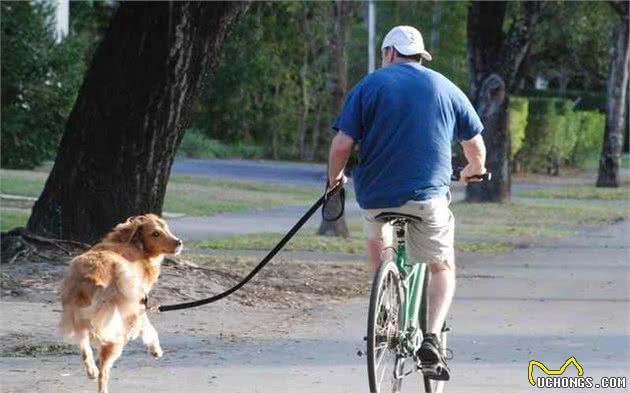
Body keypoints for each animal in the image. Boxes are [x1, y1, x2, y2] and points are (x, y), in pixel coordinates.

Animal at [59, 213, 183, 392]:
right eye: (155, 234)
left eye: (166, 227)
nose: (179, 242)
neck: (135, 245)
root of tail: (91, 277)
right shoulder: (137, 303)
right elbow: (148, 326)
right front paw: (155, 349)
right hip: (115, 330)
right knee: (104, 370)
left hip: (77, 315)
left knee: (84, 345)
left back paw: (91, 369)